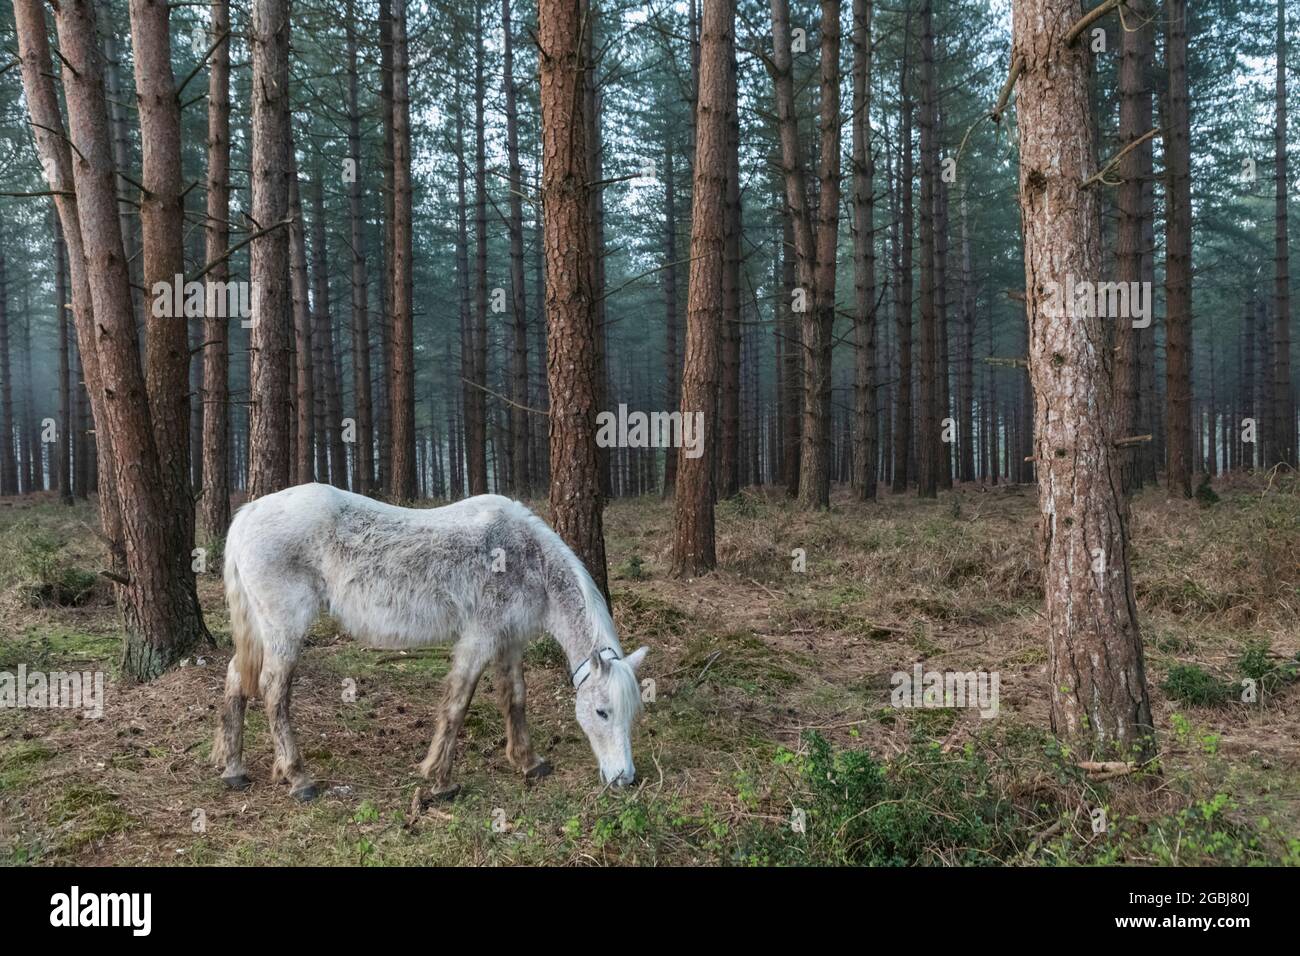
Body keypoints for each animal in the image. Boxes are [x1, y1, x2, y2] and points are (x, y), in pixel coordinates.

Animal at [211, 483, 648, 801]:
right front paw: (441, 780)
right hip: (285, 628)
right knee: (273, 690)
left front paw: (528, 761)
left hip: (261, 629)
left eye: (633, 714)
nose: (624, 777)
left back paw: (234, 769)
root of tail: (249, 512)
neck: (526, 557)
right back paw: (299, 778)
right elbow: (458, 703)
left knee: (236, 678)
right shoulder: (480, 637)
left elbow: (515, 698)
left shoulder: (509, 641)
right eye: (602, 712)